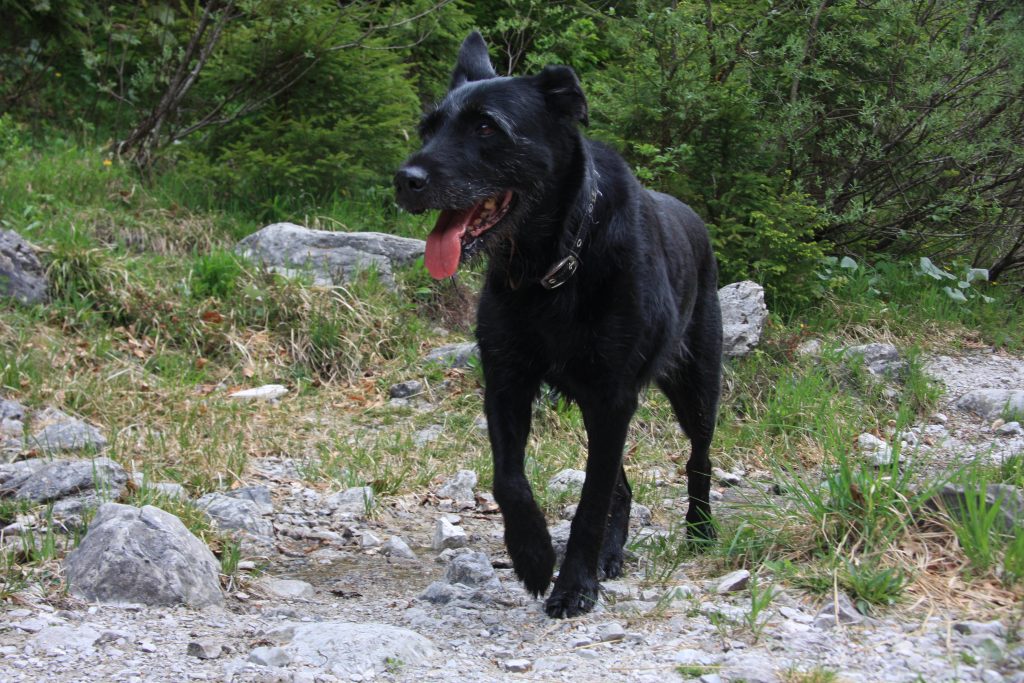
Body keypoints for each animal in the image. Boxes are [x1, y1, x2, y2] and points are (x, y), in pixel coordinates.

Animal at [395, 33, 724, 618]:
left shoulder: (612, 397)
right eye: (428, 128)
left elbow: (590, 501)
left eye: (486, 127)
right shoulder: (507, 383)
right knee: (622, 487)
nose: (404, 180)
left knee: (697, 460)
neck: (549, 265)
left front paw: (574, 585)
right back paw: (611, 554)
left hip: (697, 389)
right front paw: (533, 556)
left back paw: (699, 530)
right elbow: (509, 480)